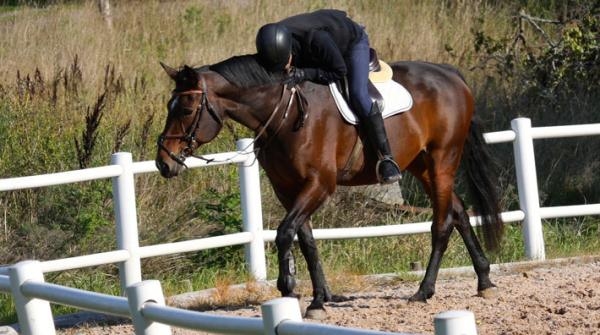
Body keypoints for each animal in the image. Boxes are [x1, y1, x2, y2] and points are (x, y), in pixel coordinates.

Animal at [157, 55, 504, 320]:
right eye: (169, 106)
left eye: (185, 109)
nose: (164, 162)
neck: (287, 115)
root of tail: (450, 74)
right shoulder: (287, 188)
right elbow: (307, 240)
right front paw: (320, 298)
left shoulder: (319, 184)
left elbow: (285, 233)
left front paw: (289, 288)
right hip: (422, 167)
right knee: (458, 212)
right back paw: (484, 280)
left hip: (442, 160)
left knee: (443, 223)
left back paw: (424, 290)